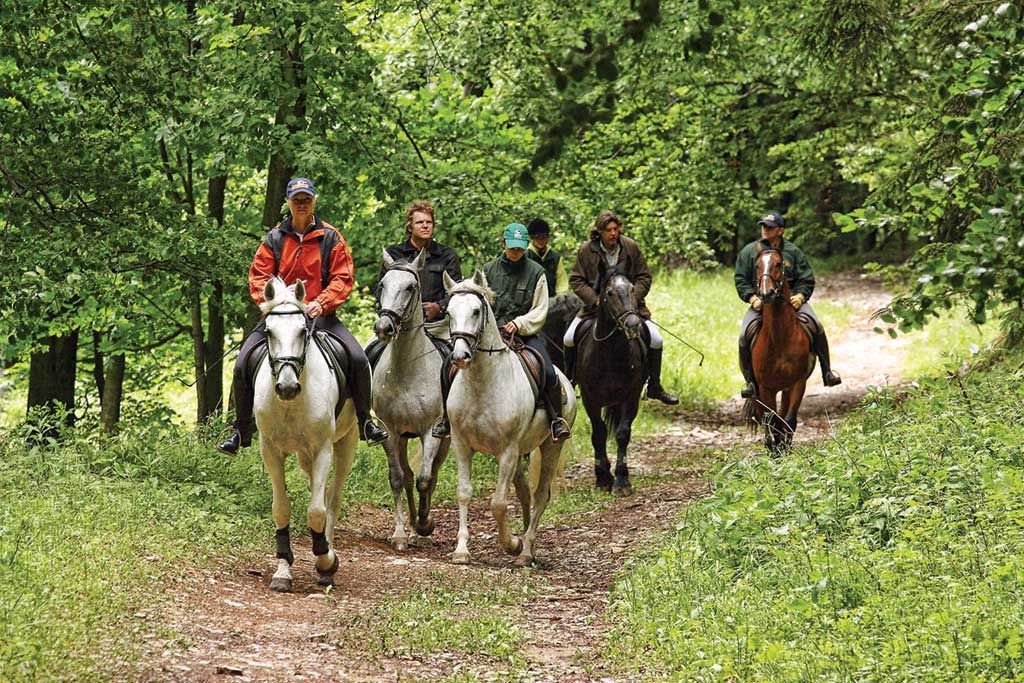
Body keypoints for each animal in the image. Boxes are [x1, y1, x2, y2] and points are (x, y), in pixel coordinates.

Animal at [253, 278, 358, 593]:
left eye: (302, 331)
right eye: (268, 332)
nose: (287, 387)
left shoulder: (323, 449)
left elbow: (317, 510)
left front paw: (326, 561)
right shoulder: (270, 451)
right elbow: (281, 509)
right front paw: (282, 571)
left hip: (346, 442)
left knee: (332, 499)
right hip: (303, 454)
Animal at [368, 248, 448, 552]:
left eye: (411, 287)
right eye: (383, 285)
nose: (384, 327)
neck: (406, 369)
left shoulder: (430, 430)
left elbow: (425, 480)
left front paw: (426, 524)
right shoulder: (390, 431)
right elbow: (398, 479)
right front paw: (401, 534)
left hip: (445, 439)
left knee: (431, 474)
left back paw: (421, 527)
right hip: (403, 437)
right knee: (409, 475)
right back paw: (412, 528)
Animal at [440, 270, 577, 565]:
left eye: (476, 311)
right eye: (449, 312)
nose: (460, 356)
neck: (482, 383)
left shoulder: (507, 451)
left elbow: (499, 503)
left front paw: (511, 543)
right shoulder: (461, 445)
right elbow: (464, 493)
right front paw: (461, 550)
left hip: (551, 446)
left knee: (540, 495)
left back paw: (525, 550)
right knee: (525, 492)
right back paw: (526, 542)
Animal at [573, 268, 643, 497]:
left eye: (632, 288)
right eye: (610, 293)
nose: (633, 325)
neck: (611, 354)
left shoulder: (631, 397)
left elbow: (622, 434)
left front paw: (621, 481)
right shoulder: (590, 399)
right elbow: (599, 433)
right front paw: (602, 478)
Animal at [745, 246, 815, 454]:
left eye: (778, 264)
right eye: (757, 265)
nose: (766, 293)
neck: (780, 338)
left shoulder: (797, 383)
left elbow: (788, 420)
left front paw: (785, 448)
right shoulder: (765, 387)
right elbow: (771, 420)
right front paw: (775, 449)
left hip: (785, 389)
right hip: (758, 389)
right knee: (766, 417)